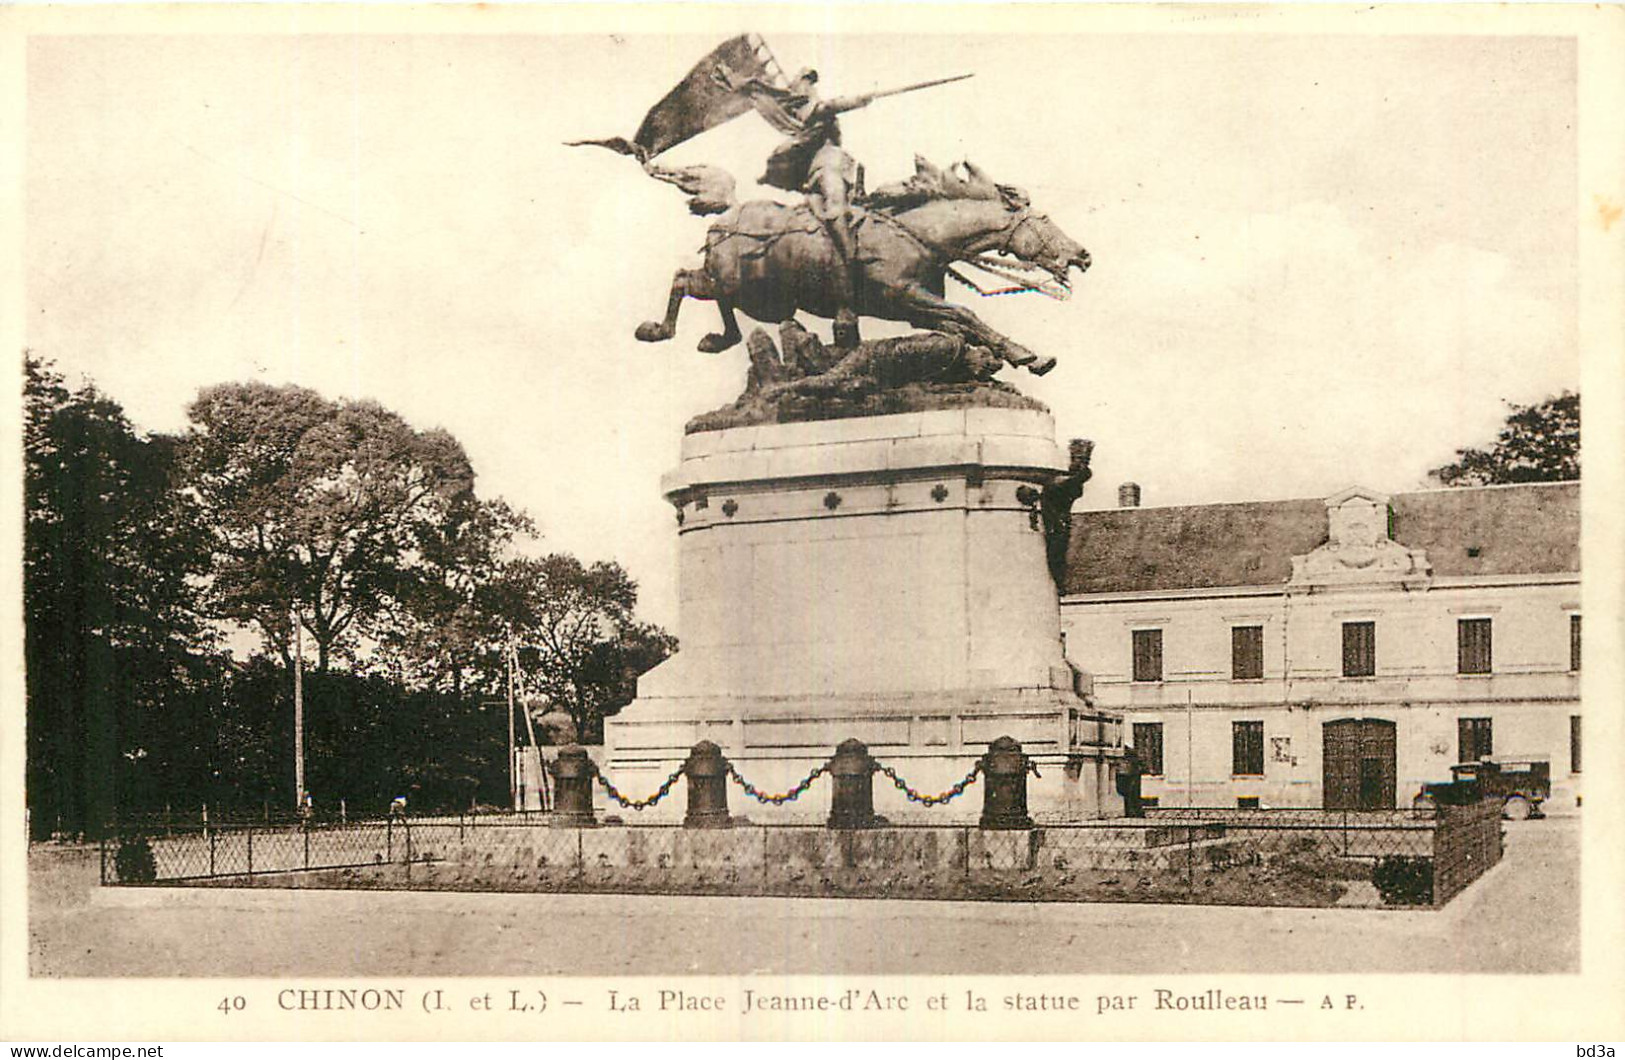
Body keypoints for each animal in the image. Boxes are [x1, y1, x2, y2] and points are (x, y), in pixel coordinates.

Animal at [633, 178, 1092, 380]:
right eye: (1044, 221)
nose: (1082, 255)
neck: (920, 236)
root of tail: (724, 218)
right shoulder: (906, 295)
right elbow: (966, 313)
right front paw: (1027, 355)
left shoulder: (916, 310)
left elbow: (960, 325)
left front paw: (1002, 355)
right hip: (742, 287)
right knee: (684, 280)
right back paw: (658, 330)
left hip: (755, 293)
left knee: (707, 293)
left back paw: (719, 338)